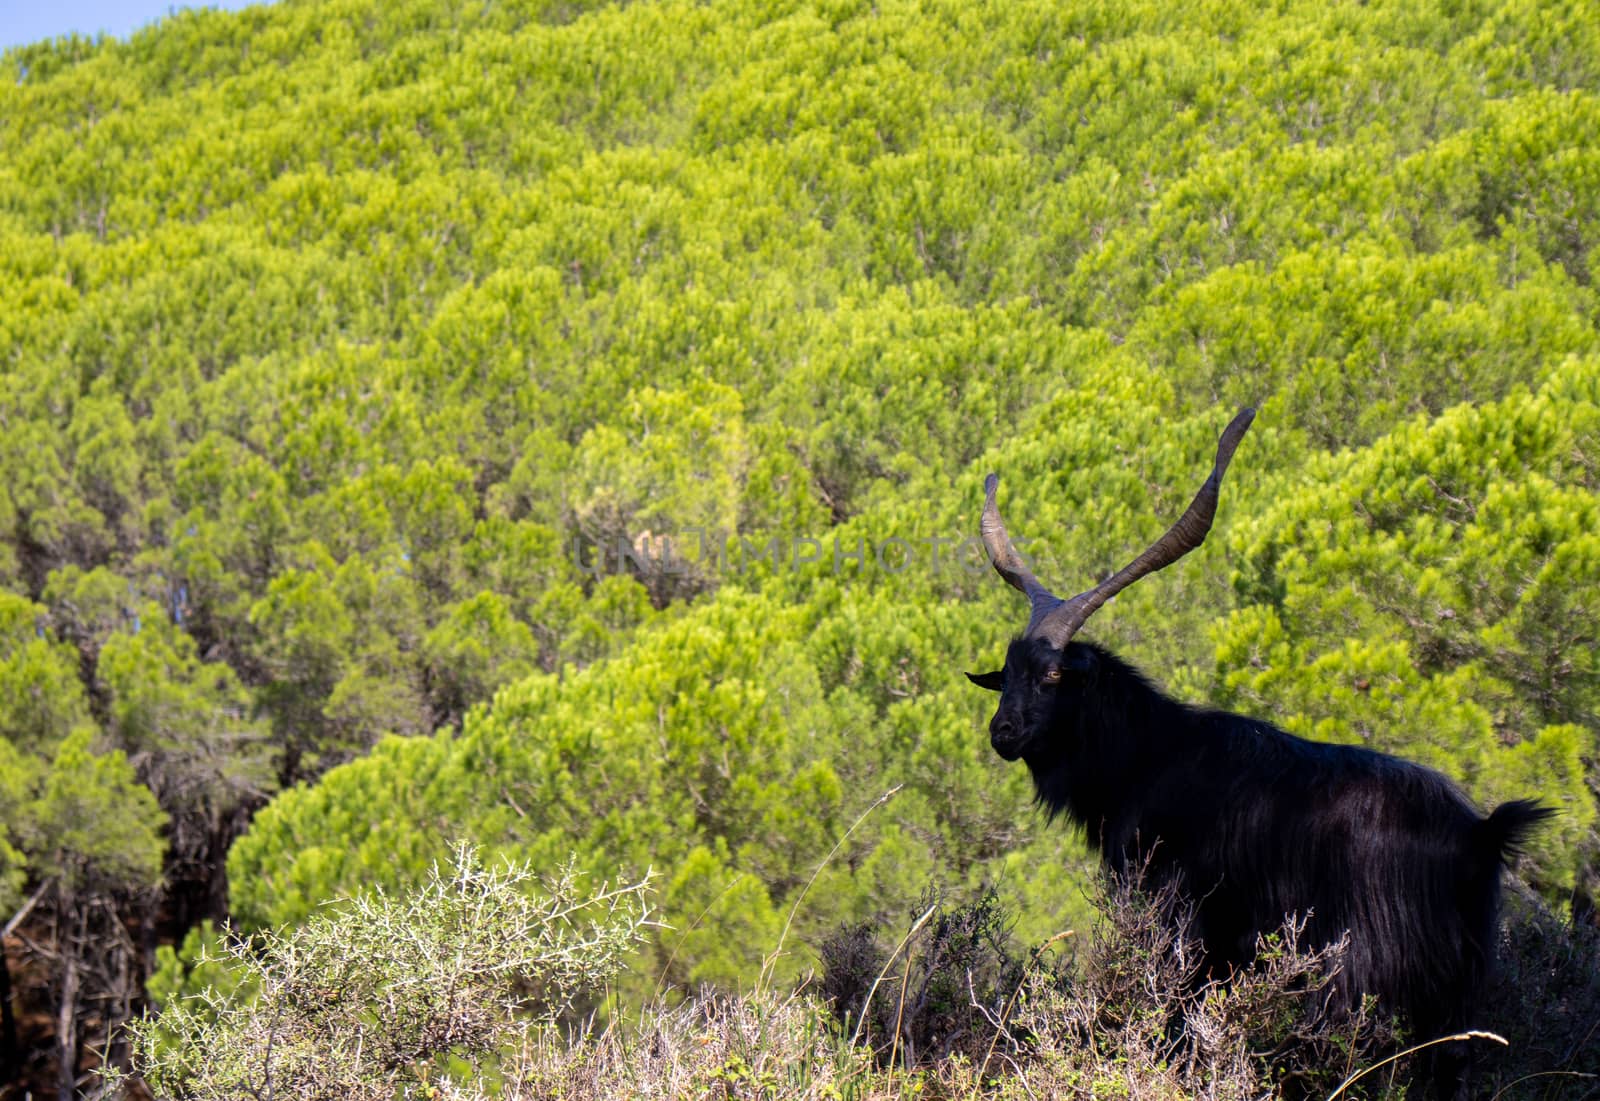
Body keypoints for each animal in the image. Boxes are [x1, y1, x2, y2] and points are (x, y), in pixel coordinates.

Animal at [966, 408, 1555, 1094]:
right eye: (1007, 672)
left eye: (1054, 675)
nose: (1003, 732)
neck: (1148, 756)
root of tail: (1482, 833)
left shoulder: (1177, 914)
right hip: (1456, 985)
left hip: (1359, 965)